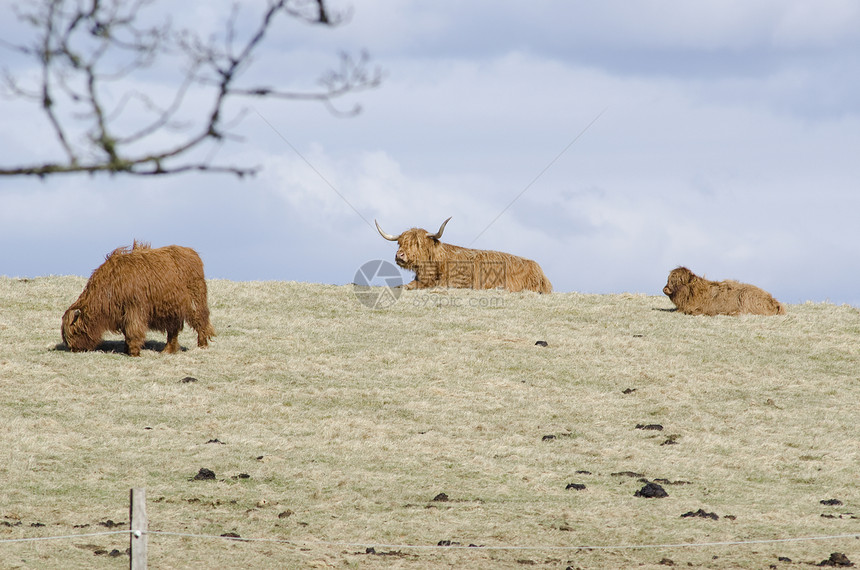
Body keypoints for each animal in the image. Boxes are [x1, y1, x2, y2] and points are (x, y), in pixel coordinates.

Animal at [61, 241, 215, 356]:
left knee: (201, 322)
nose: (75, 349)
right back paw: (167, 350)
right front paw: (127, 349)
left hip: (195, 302)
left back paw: (202, 345)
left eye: (75, 331)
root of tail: (192, 253)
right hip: (173, 310)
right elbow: (127, 332)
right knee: (173, 332)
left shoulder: (134, 309)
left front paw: (134, 352)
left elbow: (133, 330)